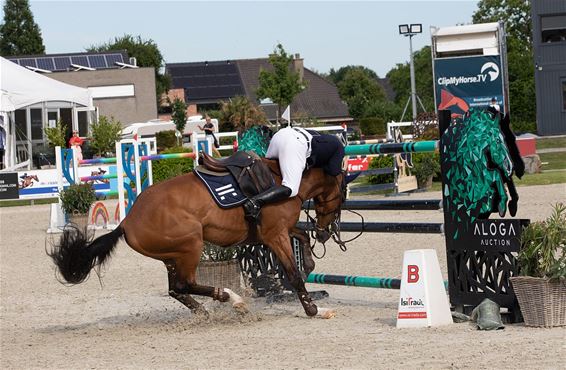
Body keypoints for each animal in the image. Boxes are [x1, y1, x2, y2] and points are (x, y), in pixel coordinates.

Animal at [48, 158, 344, 318]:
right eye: (342, 195)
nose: (325, 231)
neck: (282, 180)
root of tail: (126, 222)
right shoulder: (274, 235)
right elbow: (293, 274)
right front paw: (313, 310)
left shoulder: (278, 231)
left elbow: (301, 235)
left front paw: (309, 262)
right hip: (191, 244)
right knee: (185, 283)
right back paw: (231, 299)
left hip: (171, 255)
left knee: (175, 288)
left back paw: (203, 311)